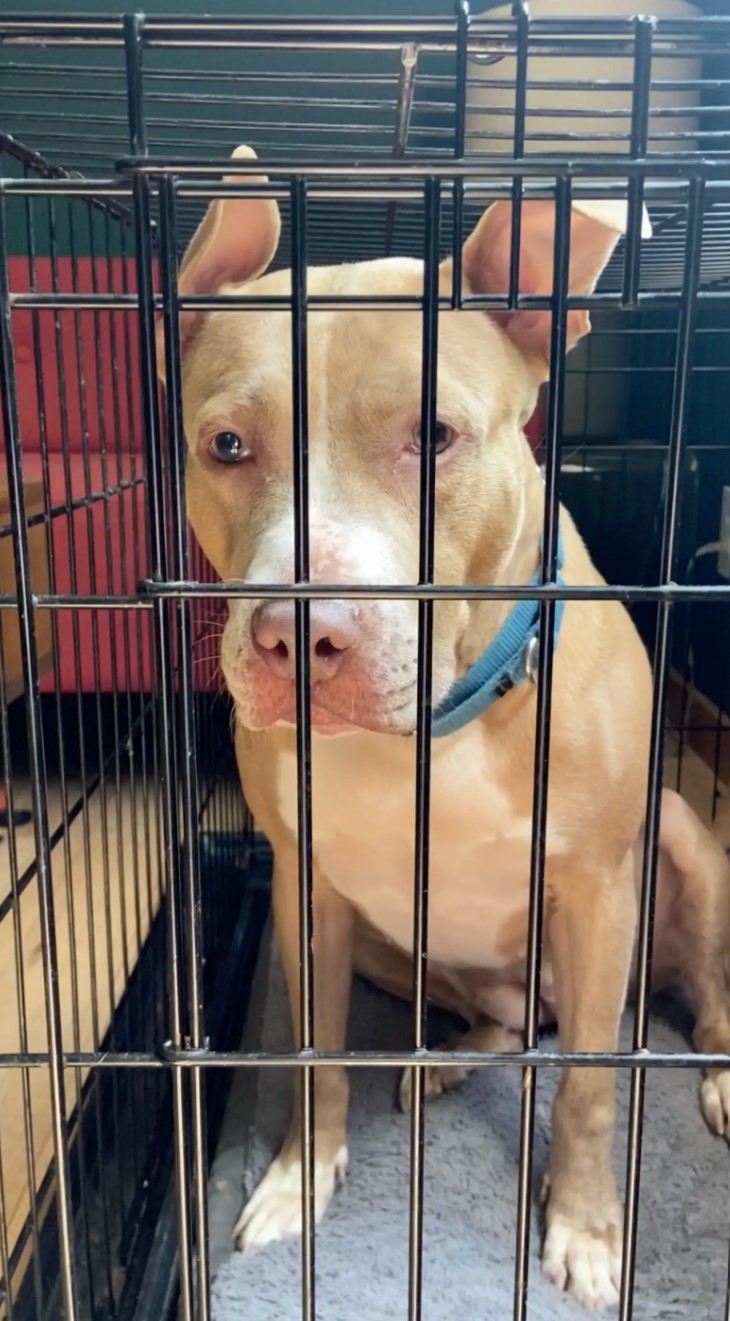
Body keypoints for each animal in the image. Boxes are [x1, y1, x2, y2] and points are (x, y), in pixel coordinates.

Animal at [165, 147, 728, 1310]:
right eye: (226, 445)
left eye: (434, 437)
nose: (299, 634)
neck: (430, 730)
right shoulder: (306, 891)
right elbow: (315, 1053)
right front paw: (297, 1182)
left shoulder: (599, 890)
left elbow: (592, 1086)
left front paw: (585, 1229)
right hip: (397, 946)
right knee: (510, 1024)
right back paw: (446, 1059)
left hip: (684, 848)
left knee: (687, 1004)